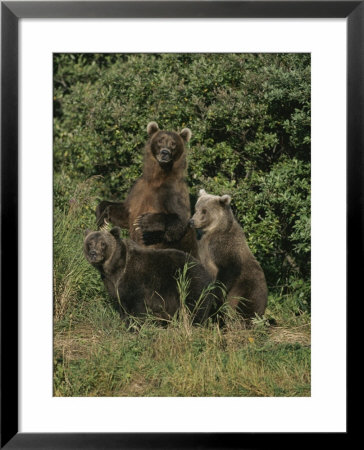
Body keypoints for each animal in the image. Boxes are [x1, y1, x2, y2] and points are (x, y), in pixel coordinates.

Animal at [84, 229, 218, 324]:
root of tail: (205, 270)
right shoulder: (114, 284)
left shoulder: (136, 282)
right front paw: (124, 320)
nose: (93, 254)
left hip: (190, 282)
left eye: (103, 244)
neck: (114, 268)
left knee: (196, 306)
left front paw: (134, 325)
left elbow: (137, 305)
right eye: (90, 243)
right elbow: (121, 303)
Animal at [96, 121, 198, 258]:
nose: (165, 152)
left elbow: (179, 220)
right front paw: (102, 218)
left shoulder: (172, 192)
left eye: (173, 144)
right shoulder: (139, 189)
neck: (157, 176)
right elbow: (125, 212)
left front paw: (144, 221)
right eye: (160, 140)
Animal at [189, 190, 268, 320]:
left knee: (247, 305)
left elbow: (228, 270)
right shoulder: (201, 248)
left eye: (204, 210)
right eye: (196, 208)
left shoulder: (224, 246)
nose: (191, 221)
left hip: (248, 287)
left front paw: (214, 296)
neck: (211, 232)